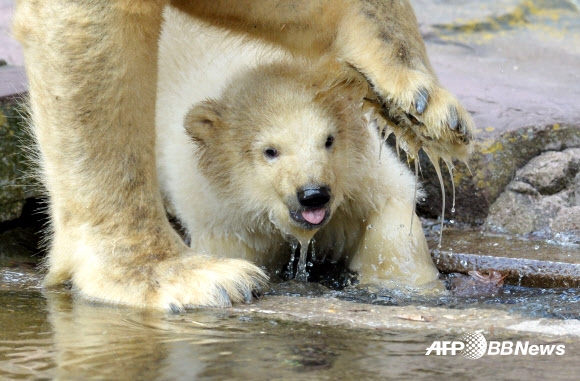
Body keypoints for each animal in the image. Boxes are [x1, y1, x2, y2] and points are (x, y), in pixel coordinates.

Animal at [13, 0, 474, 308]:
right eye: (270, 152)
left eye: (328, 140)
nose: (313, 194)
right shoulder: (222, 212)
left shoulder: (363, 175)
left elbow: (392, 207)